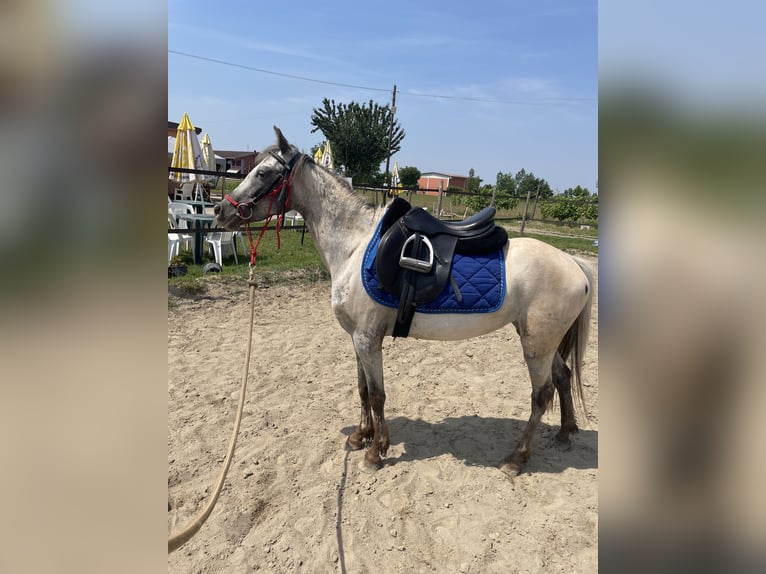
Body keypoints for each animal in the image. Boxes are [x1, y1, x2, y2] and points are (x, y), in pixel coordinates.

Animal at [214, 126, 594, 477]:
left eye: (263, 173)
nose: (220, 210)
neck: (355, 246)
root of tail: (574, 263)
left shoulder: (368, 339)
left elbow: (377, 394)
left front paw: (376, 452)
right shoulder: (357, 339)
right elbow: (363, 388)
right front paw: (361, 436)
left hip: (537, 346)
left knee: (541, 394)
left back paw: (517, 458)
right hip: (544, 343)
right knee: (563, 376)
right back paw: (564, 434)